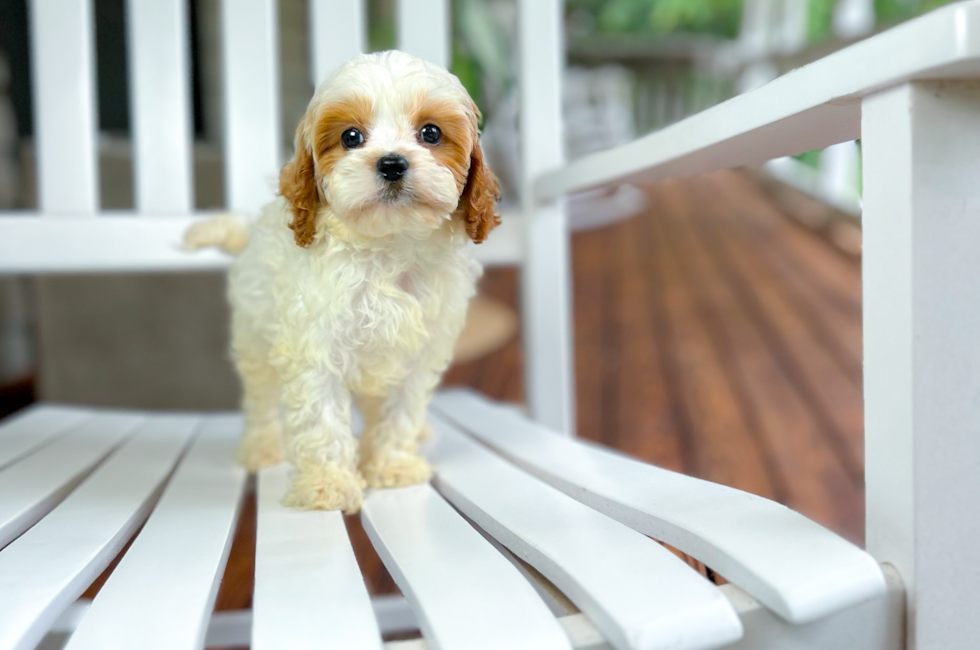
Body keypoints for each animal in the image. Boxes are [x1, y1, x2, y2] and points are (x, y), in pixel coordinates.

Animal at [186, 50, 498, 512]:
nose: (391, 162)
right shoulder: (314, 347)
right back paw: (261, 448)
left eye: (431, 133)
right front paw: (328, 484)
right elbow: (322, 420)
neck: (387, 247)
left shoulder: (418, 352)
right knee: (261, 398)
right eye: (351, 137)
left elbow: (401, 411)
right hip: (254, 339)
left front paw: (392, 466)